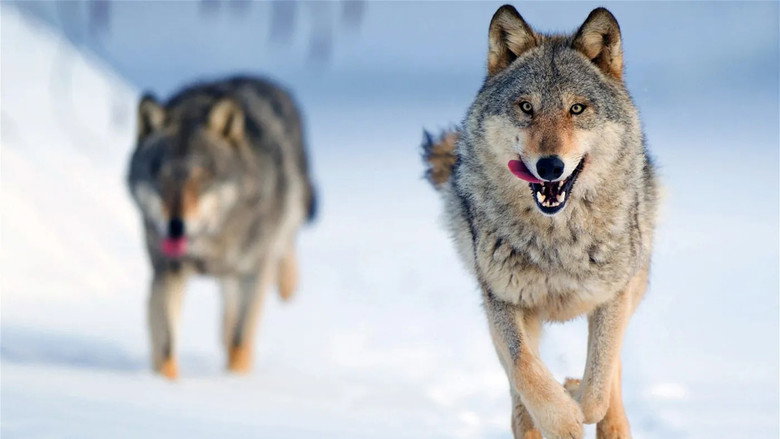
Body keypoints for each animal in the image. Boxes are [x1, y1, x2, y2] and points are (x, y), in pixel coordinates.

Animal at [127, 76, 316, 380]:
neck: (209, 246)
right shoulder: (167, 272)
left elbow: (241, 340)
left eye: (201, 179)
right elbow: (166, 346)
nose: (175, 227)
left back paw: (288, 285)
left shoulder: (253, 273)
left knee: (285, 251)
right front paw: (164, 385)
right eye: (162, 178)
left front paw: (234, 381)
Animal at [422, 6, 658, 439]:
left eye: (577, 109)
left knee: (612, 375)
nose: (550, 166)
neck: (557, 240)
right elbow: (524, 367)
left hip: (636, 280)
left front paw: (576, 393)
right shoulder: (502, 300)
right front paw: (561, 417)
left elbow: (598, 386)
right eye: (526, 107)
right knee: (518, 385)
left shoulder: (613, 296)